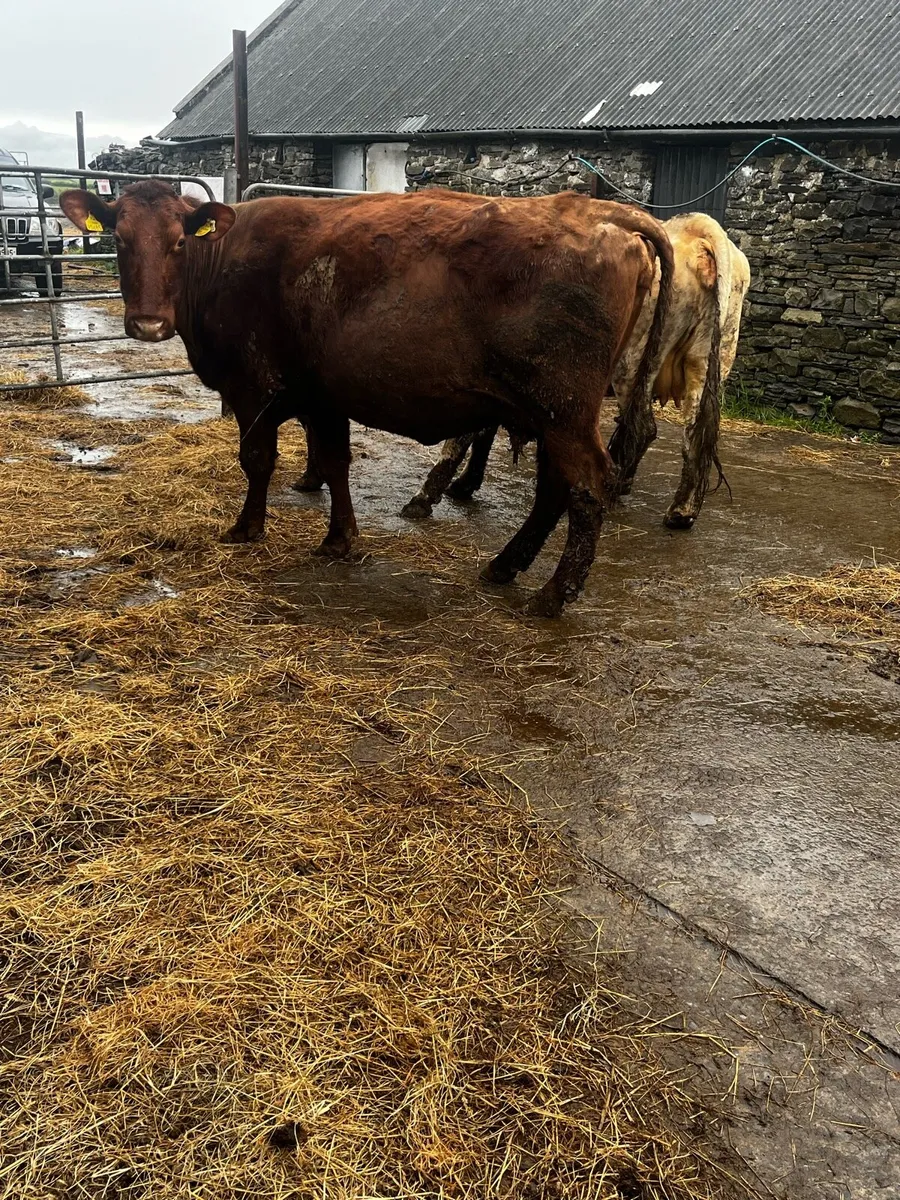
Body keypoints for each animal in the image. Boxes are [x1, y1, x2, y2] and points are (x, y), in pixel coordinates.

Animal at [59, 183, 673, 617]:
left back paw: (554, 594)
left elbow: (257, 461)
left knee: (585, 486)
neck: (225, 258)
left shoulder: (254, 390)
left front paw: (247, 529)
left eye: (179, 242)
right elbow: (334, 463)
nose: (147, 323)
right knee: (553, 490)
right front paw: (340, 540)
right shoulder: (323, 395)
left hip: (562, 410)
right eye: (118, 240)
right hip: (549, 414)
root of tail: (604, 212)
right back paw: (505, 566)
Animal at [397, 212, 750, 530]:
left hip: (634, 362)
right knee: (695, 432)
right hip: (707, 360)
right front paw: (465, 483)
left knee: (643, 427)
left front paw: (425, 497)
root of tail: (694, 230)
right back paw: (680, 511)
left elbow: (465, 435)